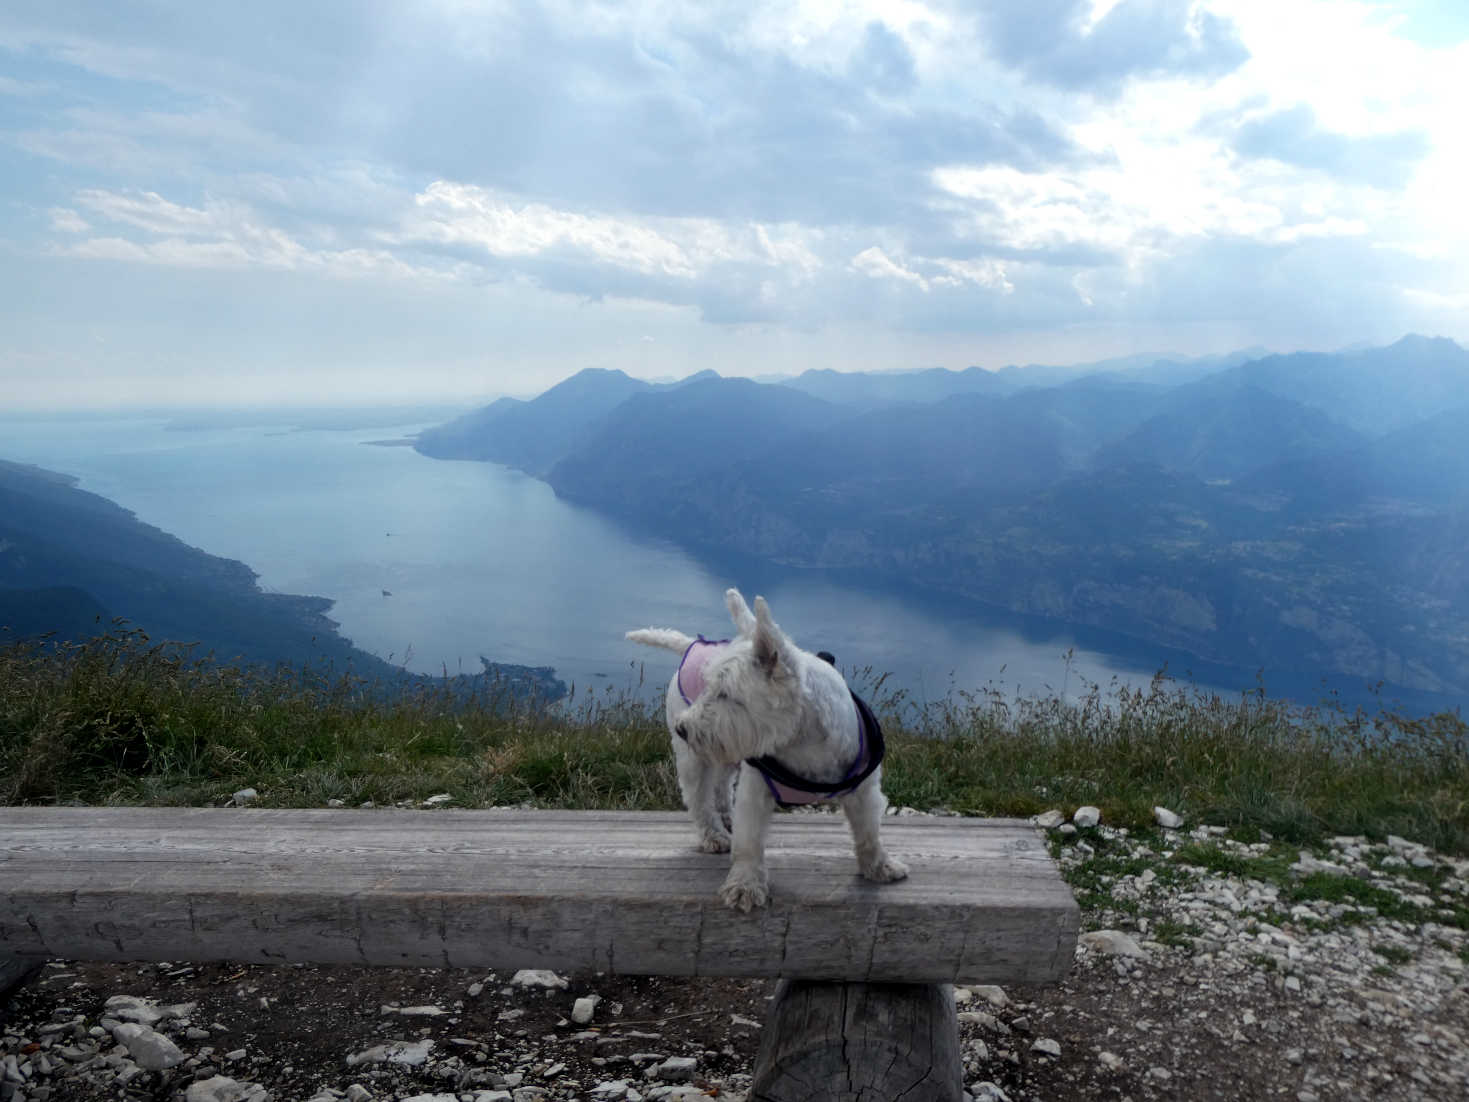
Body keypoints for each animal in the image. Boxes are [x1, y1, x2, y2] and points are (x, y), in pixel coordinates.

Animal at [622, 596, 899, 916]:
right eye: (707, 686)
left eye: (726, 694)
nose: (683, 728)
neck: (801, 740)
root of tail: (693, 644)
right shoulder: (756, 789)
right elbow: (749, 841)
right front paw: (745, 886)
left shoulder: (864, 790)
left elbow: (868, 831)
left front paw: (880, 867)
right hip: (696, 759)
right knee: (699, 798)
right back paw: (714, 835)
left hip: (727, 750)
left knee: (721, 784)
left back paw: (726, 816)